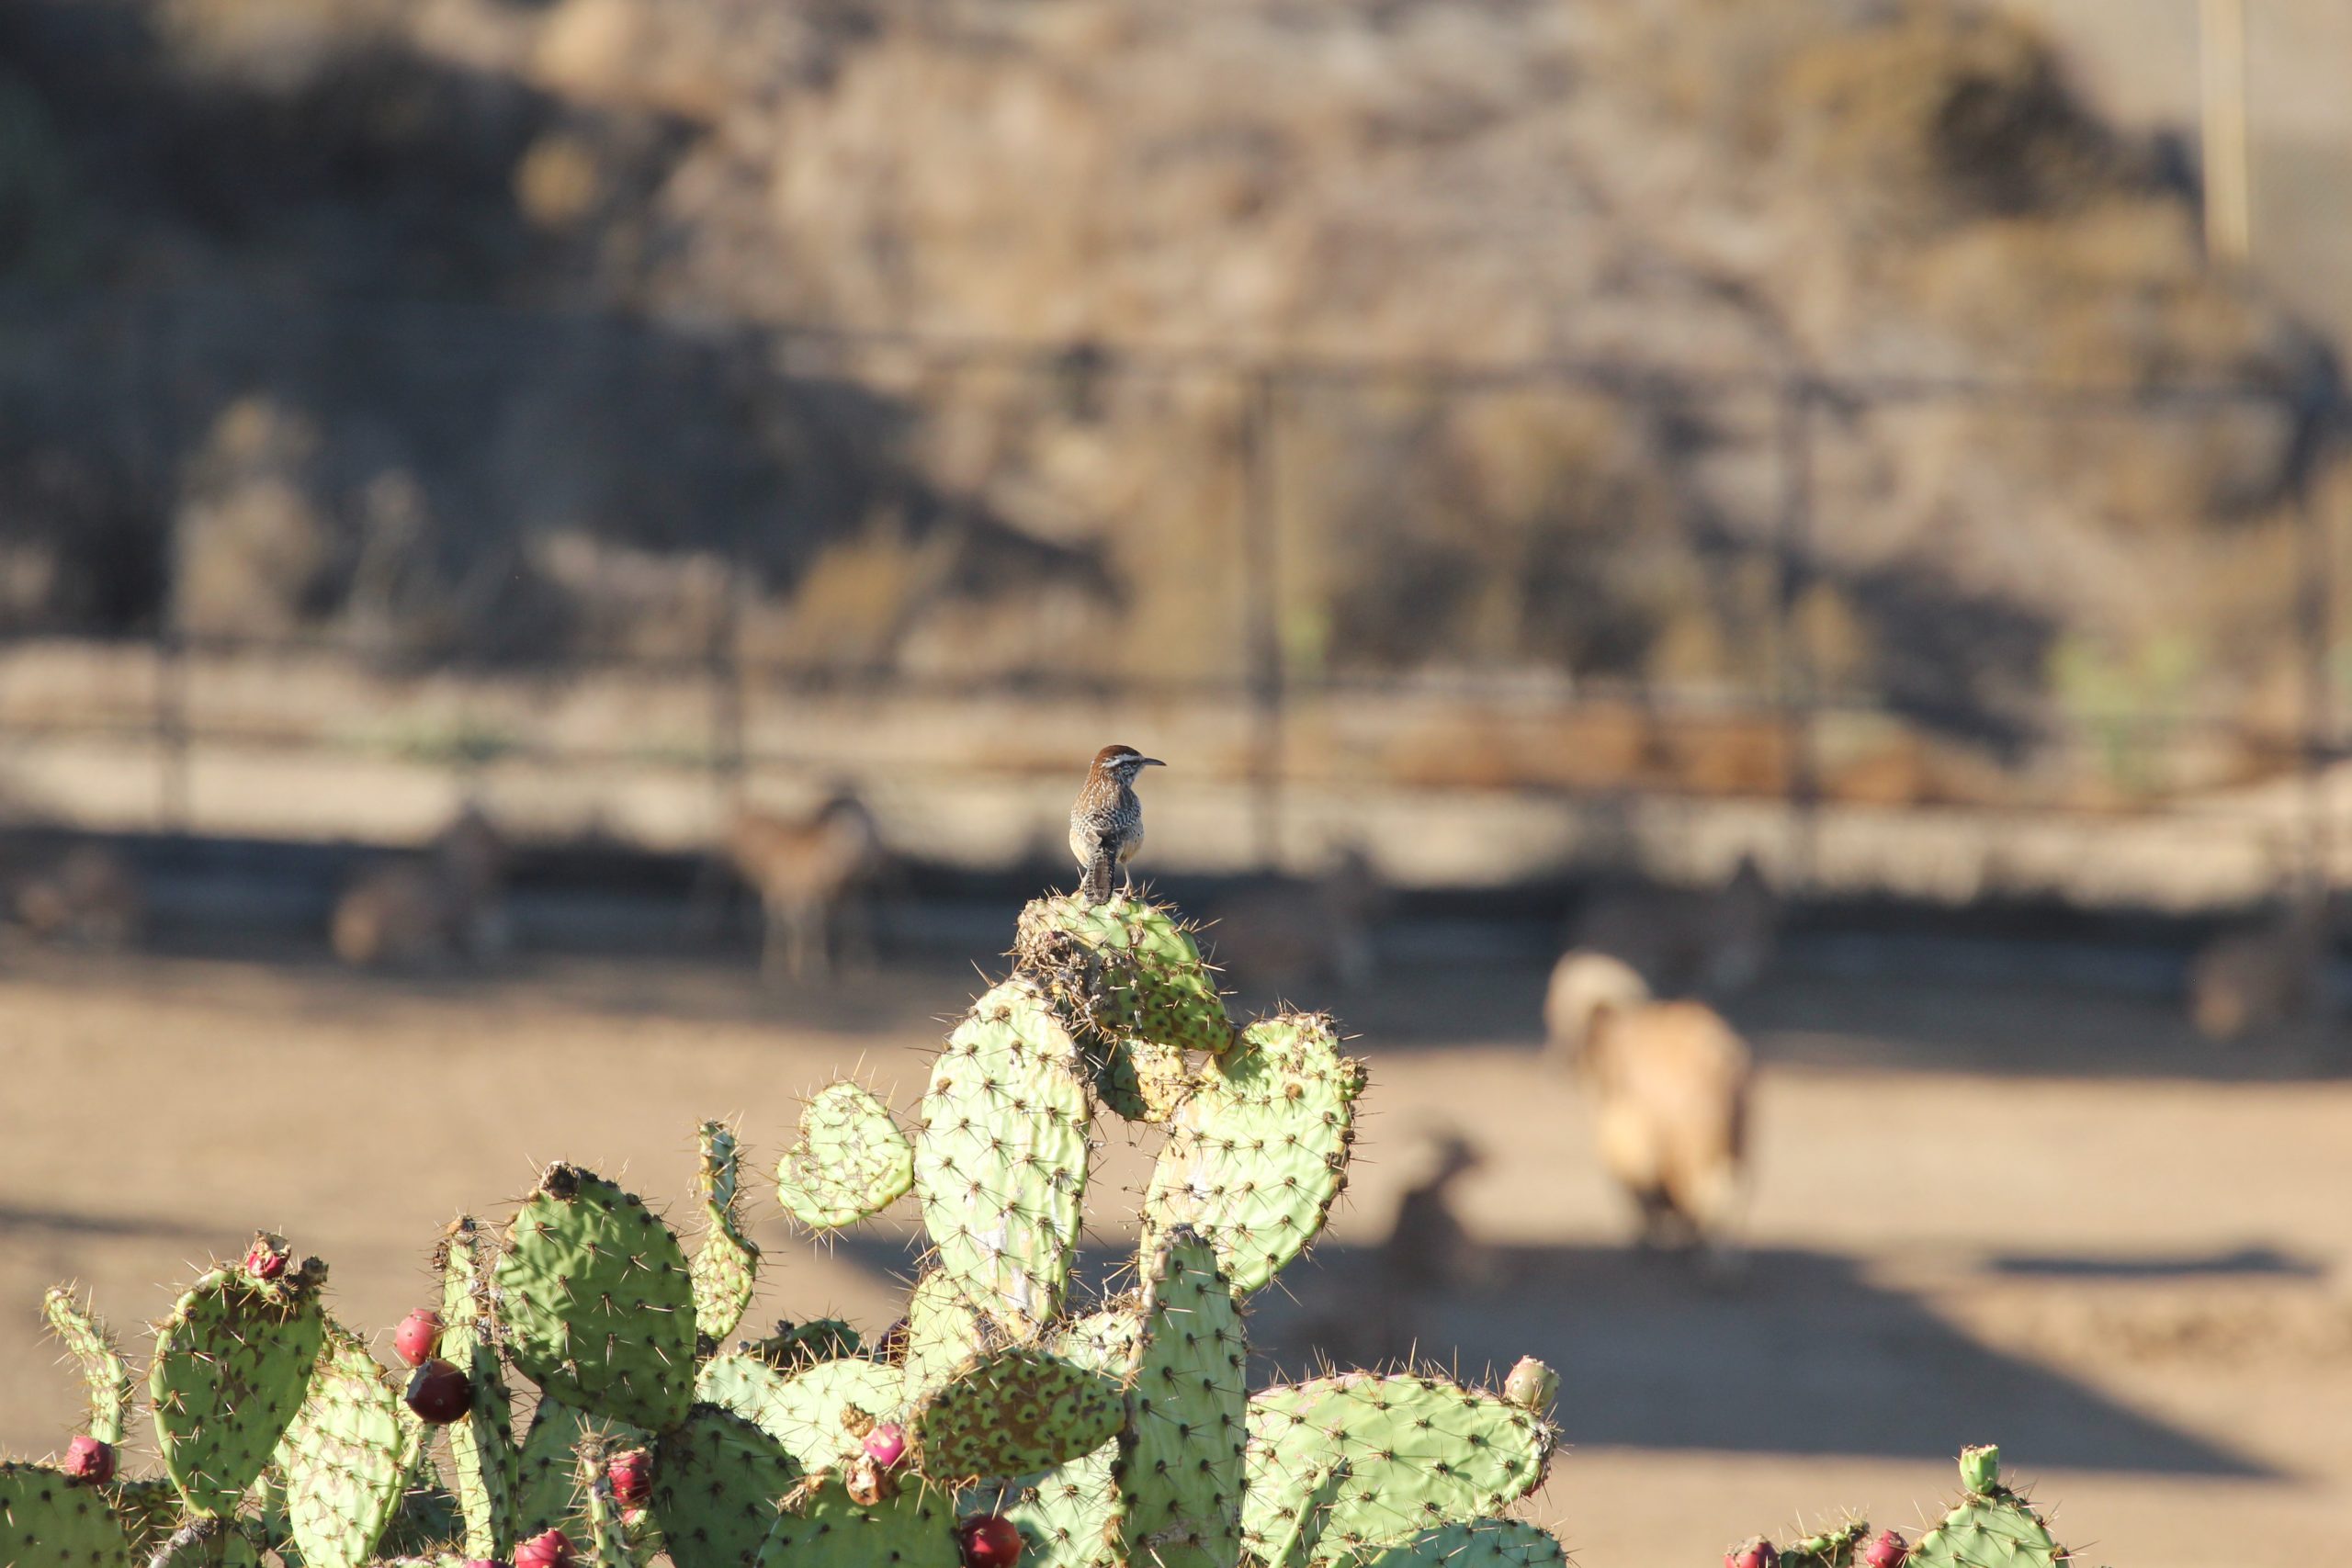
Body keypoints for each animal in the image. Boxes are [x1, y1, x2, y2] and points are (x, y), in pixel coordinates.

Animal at [724, 799, 884, 982]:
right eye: (846, 831)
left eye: (872, 831)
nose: (869, 864)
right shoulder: (806, 895)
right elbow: (810, 926)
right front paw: (814, 968)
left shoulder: (850, 894)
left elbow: (857, 923)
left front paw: (862, 967)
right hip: (775, 889)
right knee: (777, 918)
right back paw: (772, 961)